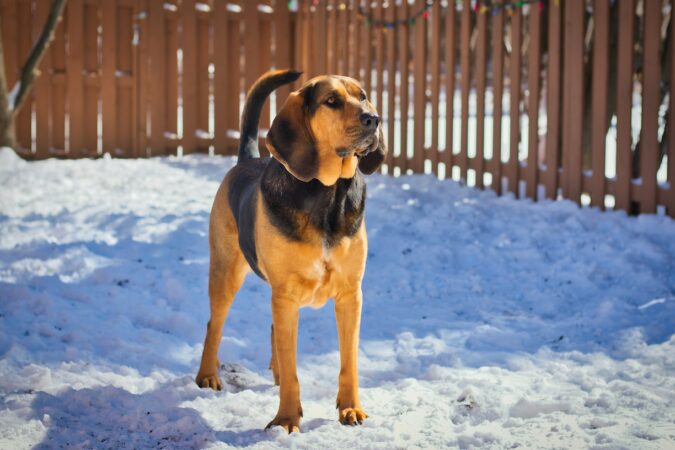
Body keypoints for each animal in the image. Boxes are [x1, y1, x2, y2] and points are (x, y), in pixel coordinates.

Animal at [195, 69, 386, 432]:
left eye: (364, 96)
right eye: (331, 101)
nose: (374, 119)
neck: (327, 195)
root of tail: (247, 159)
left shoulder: (350, 295)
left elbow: (349, 361)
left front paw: (350, 408)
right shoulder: (285, 295)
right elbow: (292, 366)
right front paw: (285, 419)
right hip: (226, 274)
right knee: (214, 324)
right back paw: (207, 376)